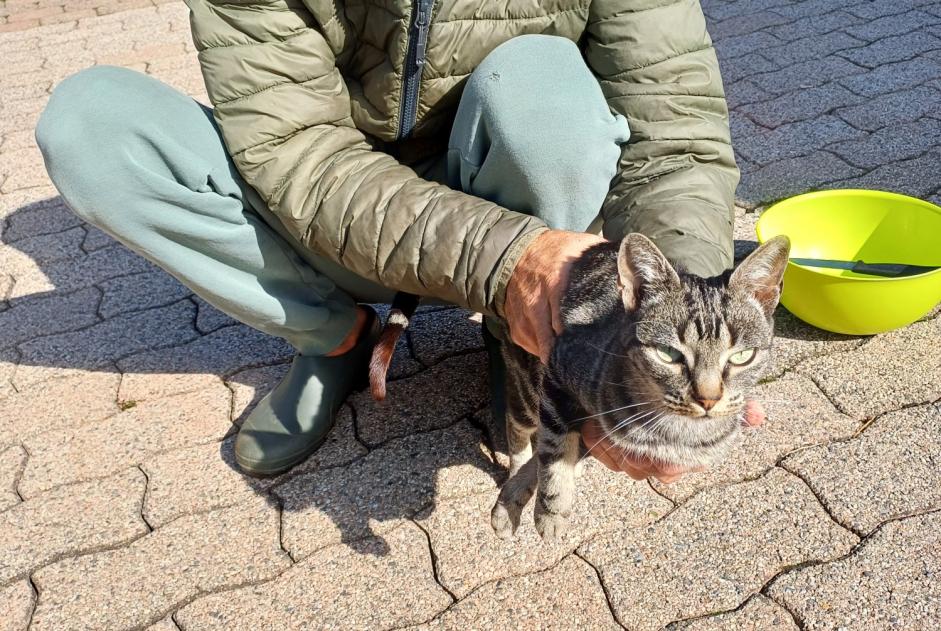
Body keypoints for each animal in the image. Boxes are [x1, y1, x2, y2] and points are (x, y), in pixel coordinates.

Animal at [492, 235, 792, 540]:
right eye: (668, 354)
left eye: (742, 356)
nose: (708, 399)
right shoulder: (558, 371)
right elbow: (554, 450)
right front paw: (549, 510)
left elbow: (556, 454)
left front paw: (519, 498)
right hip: (528, 386)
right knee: (515, 424)